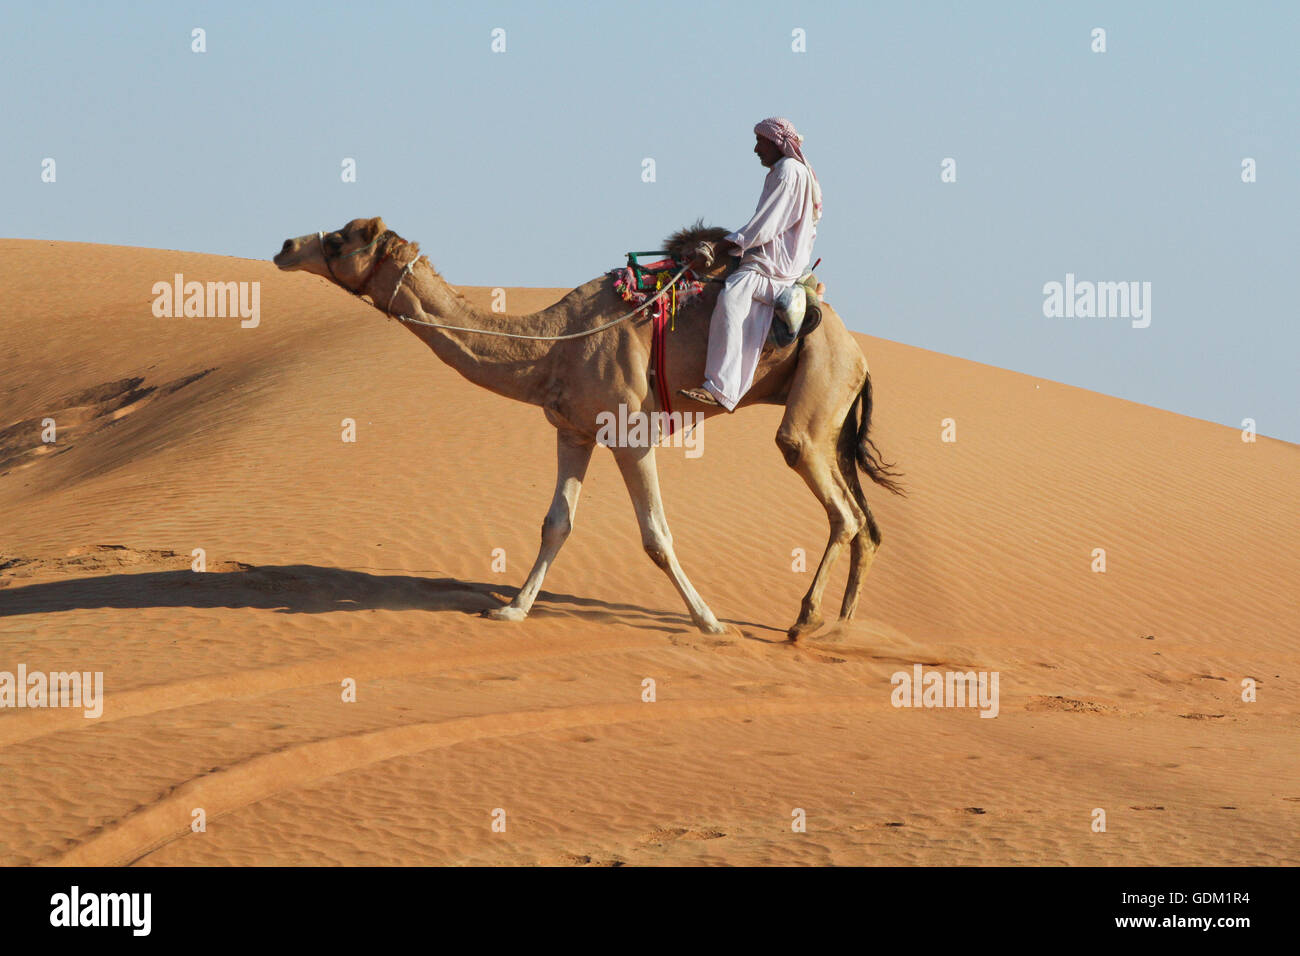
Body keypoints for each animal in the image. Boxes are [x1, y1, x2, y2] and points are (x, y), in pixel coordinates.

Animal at [273, 217, 902, 639]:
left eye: (340, 240)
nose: (285, 245)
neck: (553, 345)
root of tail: (860, 353)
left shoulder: (629, 433)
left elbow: (656, 536)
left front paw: (710, 623)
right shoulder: (572, 431)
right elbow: (556, 524)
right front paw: (511, 609)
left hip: (818, 386)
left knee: (836, 504)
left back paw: (804, 622)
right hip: (834, 414)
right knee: (865, 522)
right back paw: (840, 627)